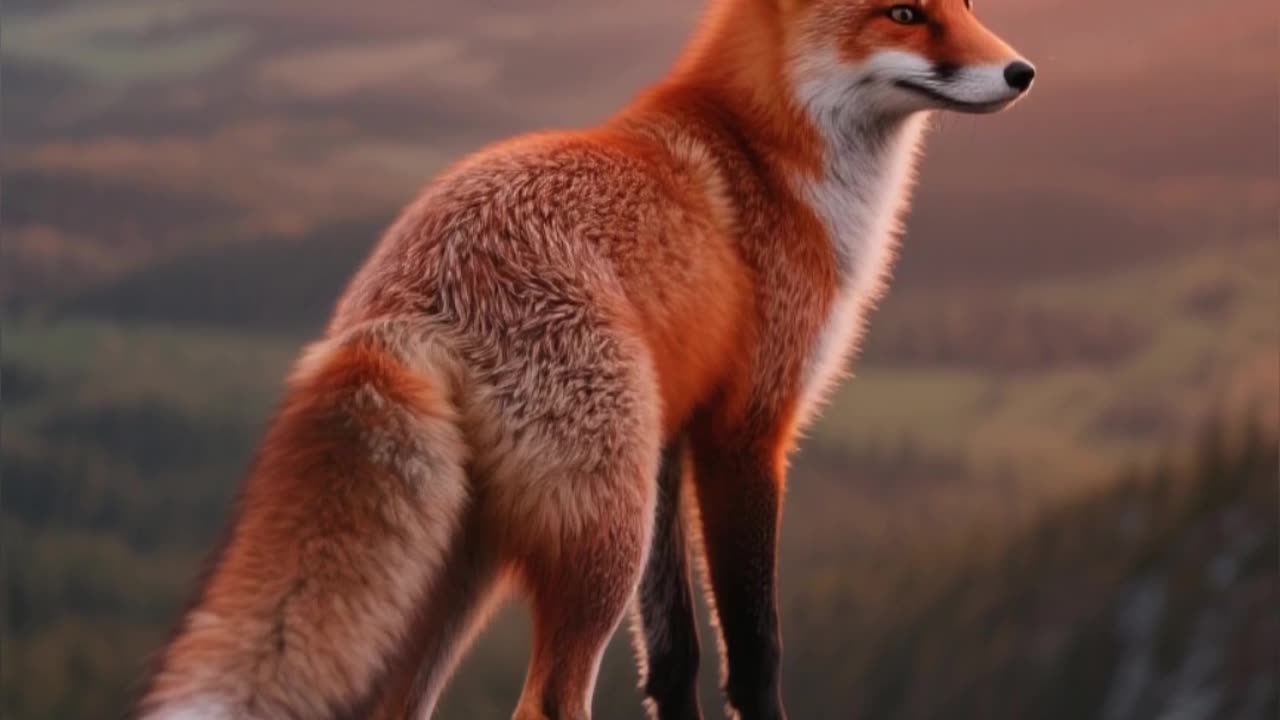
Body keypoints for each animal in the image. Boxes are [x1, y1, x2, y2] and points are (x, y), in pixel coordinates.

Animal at [140, 0, 1034, 718]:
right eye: (904, 13)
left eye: (964, 2)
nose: (1022, 72)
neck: (770, 156)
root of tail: (403, 303)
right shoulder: (747, 435)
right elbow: (756, 652)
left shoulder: (671, 439)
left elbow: (674, 658)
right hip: (603, 536)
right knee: (545, 702)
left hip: (472, 567)